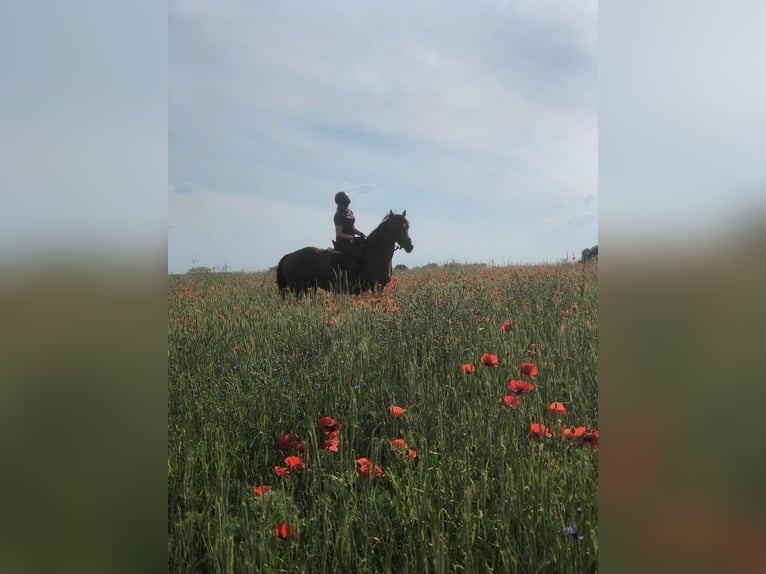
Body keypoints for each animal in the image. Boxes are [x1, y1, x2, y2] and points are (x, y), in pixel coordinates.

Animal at [278, 209, 414, 294]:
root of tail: (289, 256)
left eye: (407, 226)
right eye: (396, 227)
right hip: (299, 289)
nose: (410, 246)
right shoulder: (376, 286)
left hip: (311, 288)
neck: (376, 254)